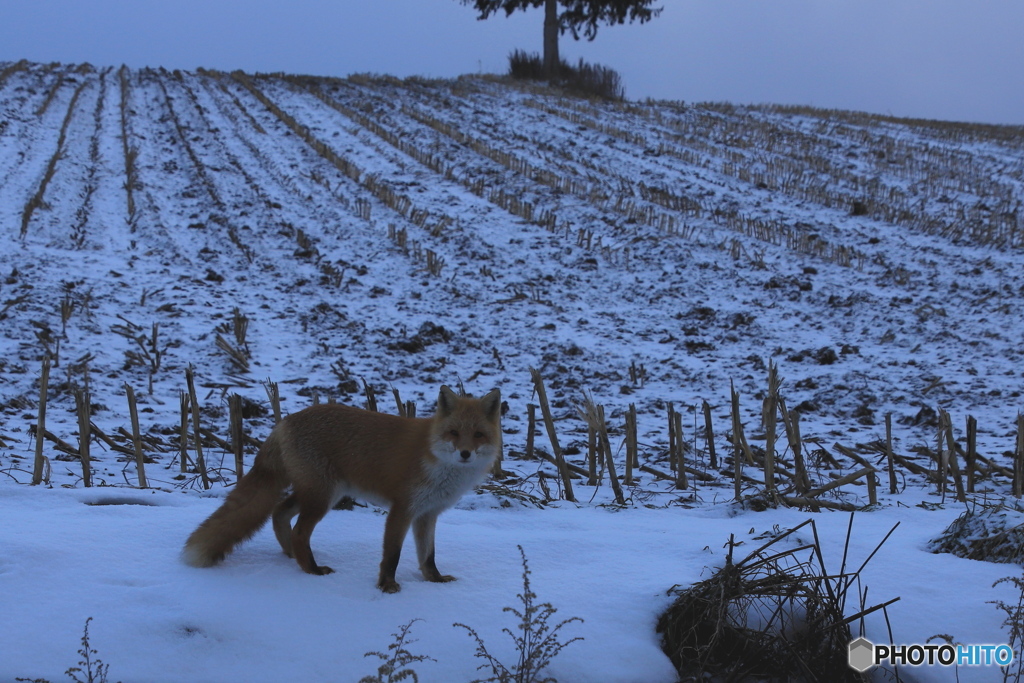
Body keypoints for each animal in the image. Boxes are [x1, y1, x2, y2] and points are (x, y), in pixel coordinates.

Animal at [186, 385, 505, 593]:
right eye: (454, 433)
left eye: (478, 435)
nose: (465, 453)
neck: (435, 458)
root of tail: (285, 421)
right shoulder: (402, 508)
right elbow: (392, 554)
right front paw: (387, 586)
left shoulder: (427, 513)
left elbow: (428, 555)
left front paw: (434, 581)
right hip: (322, 496)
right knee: (299, 530)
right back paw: (312, 570)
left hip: (320, 493)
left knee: (279, 512)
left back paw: (291, 555)